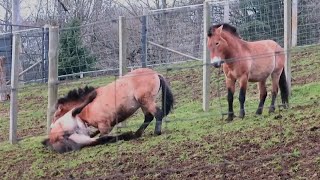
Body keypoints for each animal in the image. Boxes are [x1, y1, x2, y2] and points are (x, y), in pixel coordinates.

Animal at [42, 68, 174, 153]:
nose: (52, 128)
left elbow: (102, 136)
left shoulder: (104, 126)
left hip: (146, 101)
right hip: (143, 104)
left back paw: (156, 132)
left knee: (158, 114)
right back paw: (137, 134)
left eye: (56, 115)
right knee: (148, 117)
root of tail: (156, 73)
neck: (88, 107)